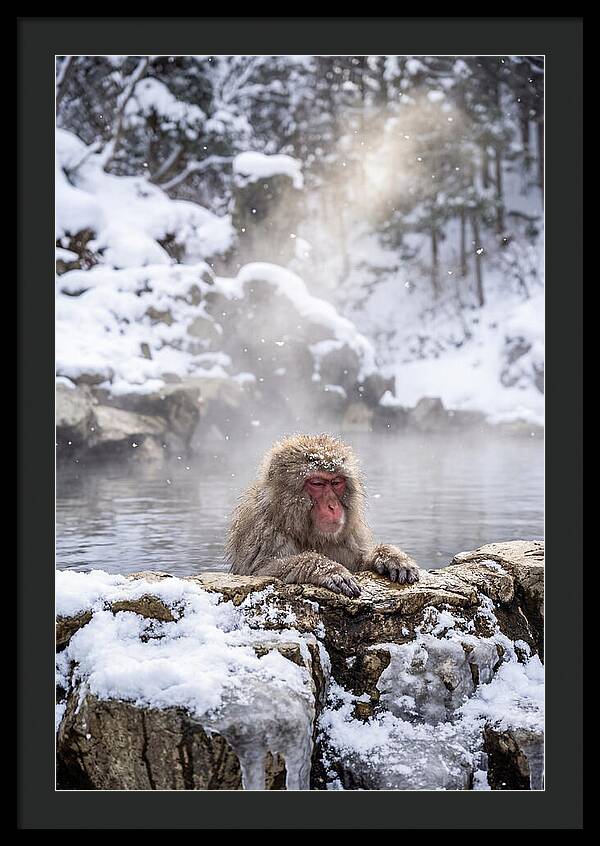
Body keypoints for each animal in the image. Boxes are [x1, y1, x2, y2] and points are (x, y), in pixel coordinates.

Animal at [226, 433, 420, 597]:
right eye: (317, 483)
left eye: (336, 482)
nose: (332, 506)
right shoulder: (262, 529)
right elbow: (261, 571)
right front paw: (328, 569)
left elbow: (359, 563)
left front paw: (389, 557)